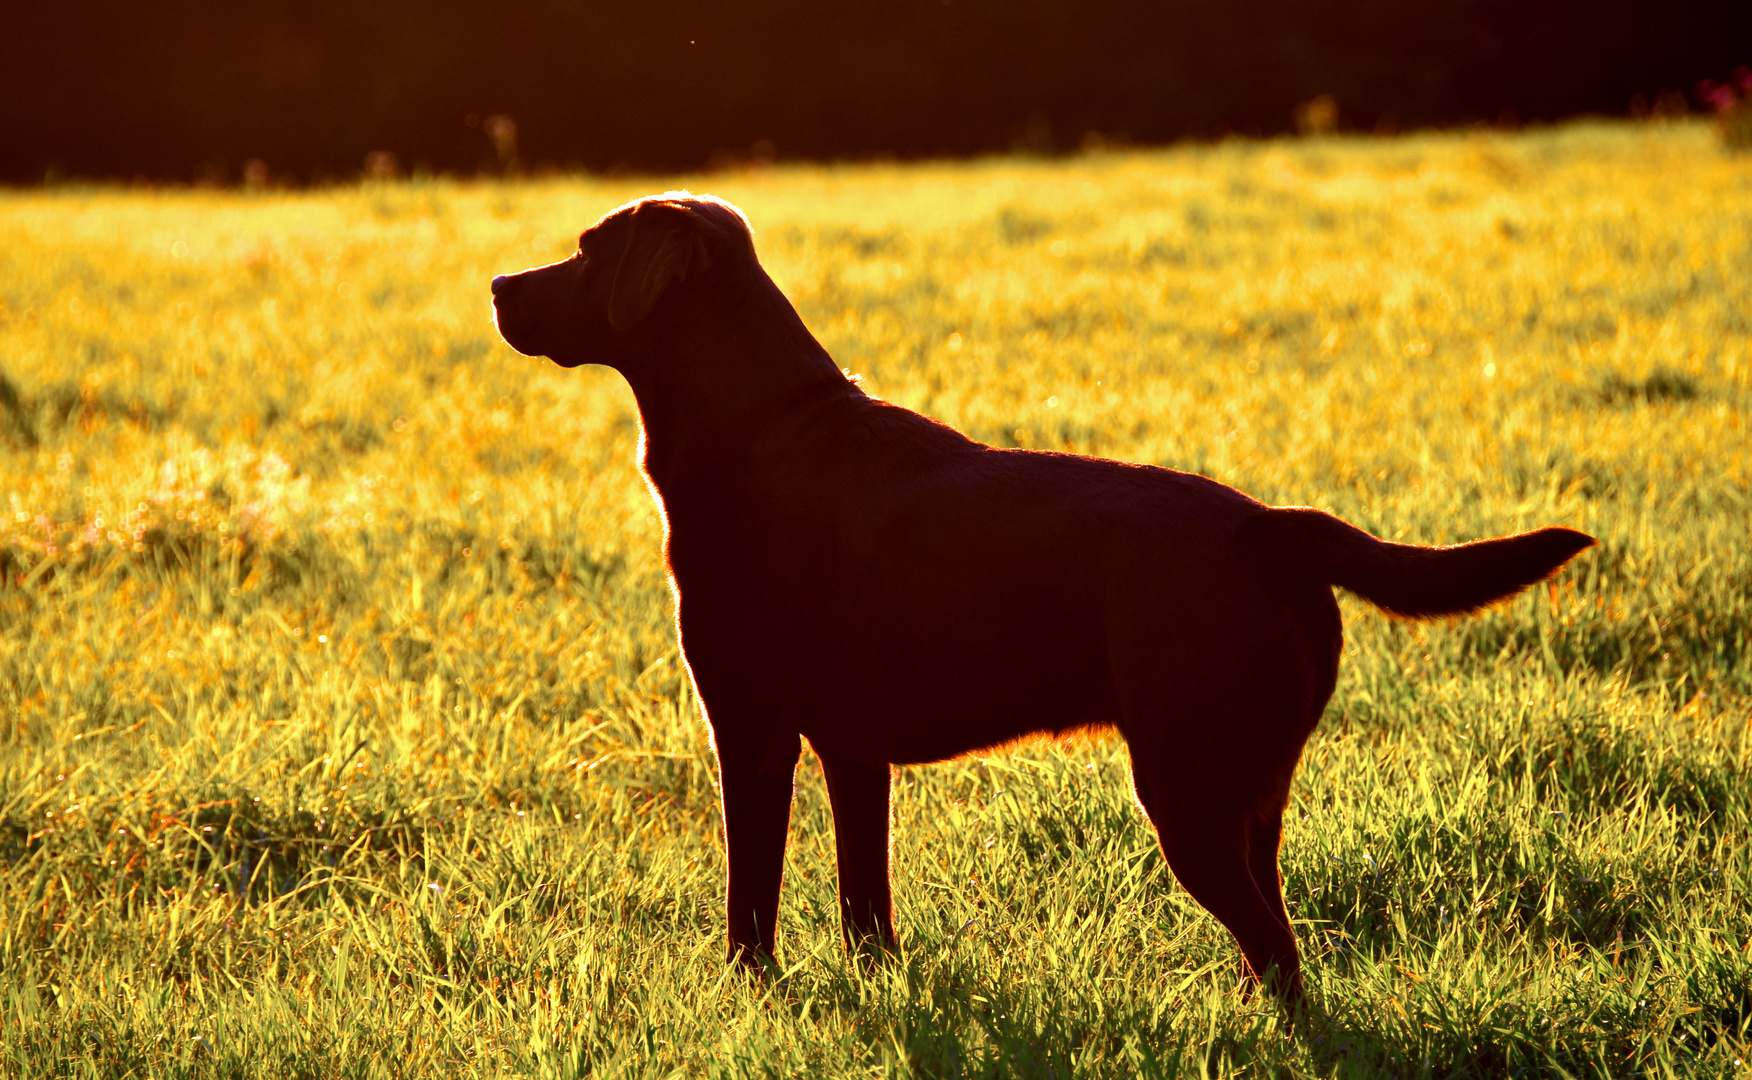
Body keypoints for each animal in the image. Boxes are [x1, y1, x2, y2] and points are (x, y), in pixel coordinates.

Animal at [487, 191, 1597, 1002]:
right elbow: (865, 900)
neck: (757, 424)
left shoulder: (751, 731)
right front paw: (880, 988)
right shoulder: (851, 750)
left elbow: (747, 900)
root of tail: (1267, 524)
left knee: (1280, 952)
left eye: (588, 250)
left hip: (1187, 790)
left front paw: (746, 995)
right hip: (1249, 793)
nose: (497, 283)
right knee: (1274, 929)